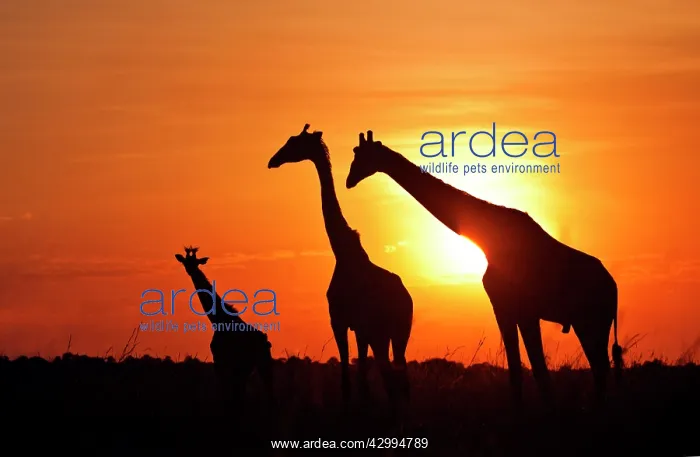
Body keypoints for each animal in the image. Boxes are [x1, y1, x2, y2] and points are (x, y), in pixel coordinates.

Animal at [175, 246, 274, 409]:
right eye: (185, 261)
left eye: (196, 262)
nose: (190, 270)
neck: (218, 319)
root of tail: (264, 340)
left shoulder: (220, 360)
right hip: (255, 363)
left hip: (253, 364)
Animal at [268, 124, 414, 408]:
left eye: (294, 142)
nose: (273, 161)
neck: (344, 255)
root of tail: (406, 297)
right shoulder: (349, 325)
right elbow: (356, 381)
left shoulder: (350, 323)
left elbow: (355, 380)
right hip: (393, 333)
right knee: (397, 378)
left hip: (390, 331)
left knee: (393, 379)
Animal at [345, 130, 623, 406]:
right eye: (355, 154)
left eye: (362, 155)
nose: (349, 181)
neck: (487, 237)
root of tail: (614, 288)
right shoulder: (506, 308)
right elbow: (519, 371)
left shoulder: (520, 308)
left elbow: (537, 371)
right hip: (587, 323)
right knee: (600, 369)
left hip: (592, 322)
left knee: (601, 369)